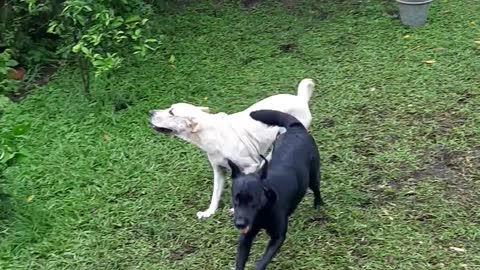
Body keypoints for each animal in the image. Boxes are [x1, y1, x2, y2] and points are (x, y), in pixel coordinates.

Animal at [151, 78, 316, 219]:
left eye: (171, 112)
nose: (150, 112)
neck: (211, 134)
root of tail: (300, 98)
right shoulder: (219, 170)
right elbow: (215, 195)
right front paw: (209, 212)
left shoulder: (249, 166)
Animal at [228, 108, 322, 268]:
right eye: (236, 200)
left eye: (252, 201)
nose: (239, 224)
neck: (263, 212)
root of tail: (295, 127)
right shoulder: (246, 237)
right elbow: (240, 261)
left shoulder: (278, 237)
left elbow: (262, 263)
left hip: (313, 176)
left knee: (316, 189)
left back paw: (319, 204)